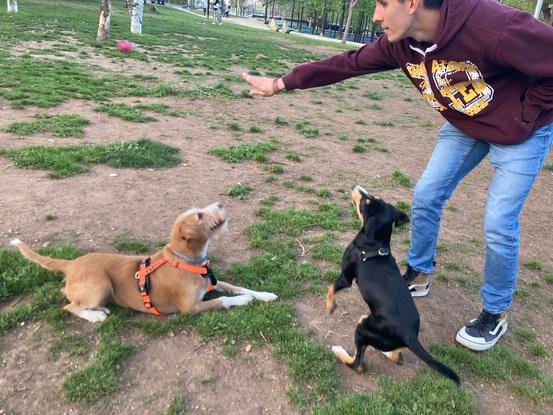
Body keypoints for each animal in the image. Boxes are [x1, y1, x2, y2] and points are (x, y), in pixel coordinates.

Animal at [11, 203, 280, 324]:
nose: (220, 203)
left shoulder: (213, 282)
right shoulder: (190, 308)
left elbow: (237, 287)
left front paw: (264, 294)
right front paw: (245, 300)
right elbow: (225, 299)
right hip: (100, 284)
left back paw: (99, 309)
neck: (186, 260)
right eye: (200, 215)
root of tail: (71, 264)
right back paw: (95, 316)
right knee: (69, 307)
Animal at [326, 187, 460, 386]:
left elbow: (331, 289)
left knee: (358, 364)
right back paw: (386, 352)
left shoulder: (346, 277)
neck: (375, 245)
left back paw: (339, 352)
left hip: (363, 327)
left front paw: (330, 307)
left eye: (366, 202)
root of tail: (409, 335)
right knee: (397, 358)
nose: (356, 187)